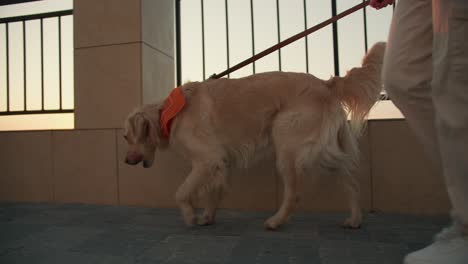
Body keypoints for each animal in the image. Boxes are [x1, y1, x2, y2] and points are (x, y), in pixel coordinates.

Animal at [123, 42, 384, 230]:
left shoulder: (207, 159)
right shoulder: (219, 161)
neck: (170, 112)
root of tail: (326, 83)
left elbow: (181, 192)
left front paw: (189, 216)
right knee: (350, 180)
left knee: (295, 193)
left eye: (126, 137)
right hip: (323, 151)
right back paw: (355, 219)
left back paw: (276, 221)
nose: (126, 161)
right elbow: (213, 192)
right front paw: (207, 216)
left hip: (288, 147)